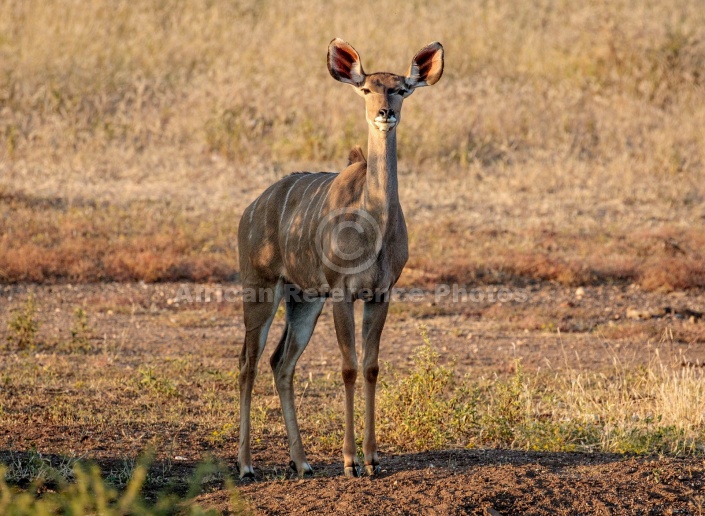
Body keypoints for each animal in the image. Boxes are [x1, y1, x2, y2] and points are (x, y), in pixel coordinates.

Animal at [236, 37, 442, 480]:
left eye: (402, 88)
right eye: (366, 89)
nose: (385, 113)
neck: (373, 224)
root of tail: (252, 208)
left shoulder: (380, 295)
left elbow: (371, 366)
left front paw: (373, 458)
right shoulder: (342, 293)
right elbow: (348, 367)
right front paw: (350, 461)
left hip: (303, 300)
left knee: (281, 362)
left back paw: (303, 463)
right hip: (260, 289)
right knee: (248, 361)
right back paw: (245, 466)